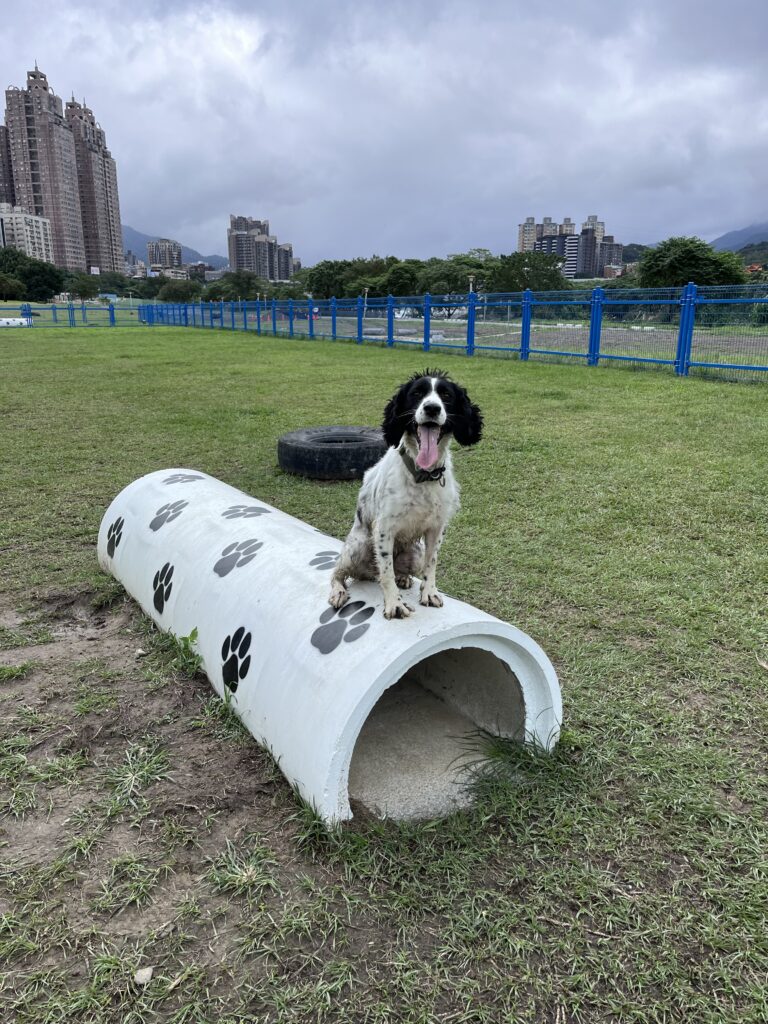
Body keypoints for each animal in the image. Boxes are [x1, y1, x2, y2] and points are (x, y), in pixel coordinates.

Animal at [329, 372, 483, 618]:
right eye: (417, 393)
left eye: (446, 395)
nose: (432, 408)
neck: (423, 475)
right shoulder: (384, 529)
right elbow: (386, 573)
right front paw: (394, 604)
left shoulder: (436, 528)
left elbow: (432, 563)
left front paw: (429, 592)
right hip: (358, 547)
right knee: (338, 572)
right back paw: (338, 592)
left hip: (415, 553)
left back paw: (404, 578)